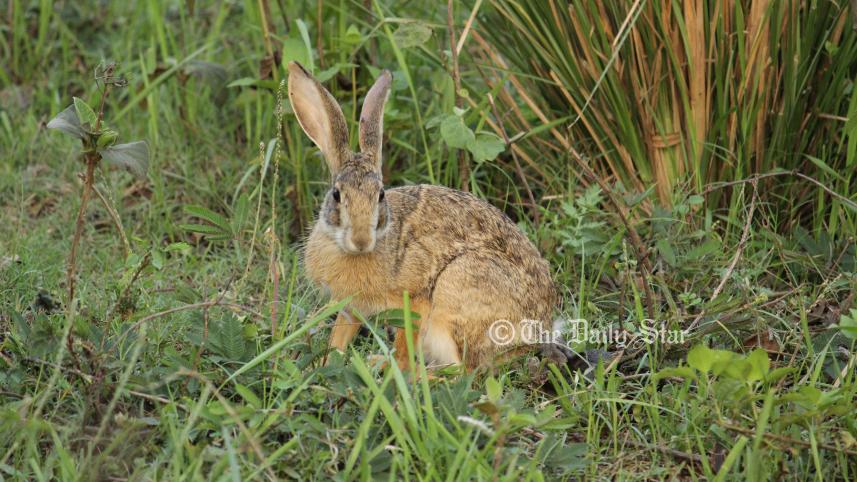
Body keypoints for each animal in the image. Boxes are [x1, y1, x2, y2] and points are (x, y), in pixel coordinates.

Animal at [288, 61, 557, 371]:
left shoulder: (415, 301)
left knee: (465, 370)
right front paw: (324, 364)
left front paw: (392, 372)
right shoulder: (350, 307)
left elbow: (405, 350)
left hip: (457, 289)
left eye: (380, 194)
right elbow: (338, 339)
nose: (361, 240)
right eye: (336, 194)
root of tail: (536, 332)